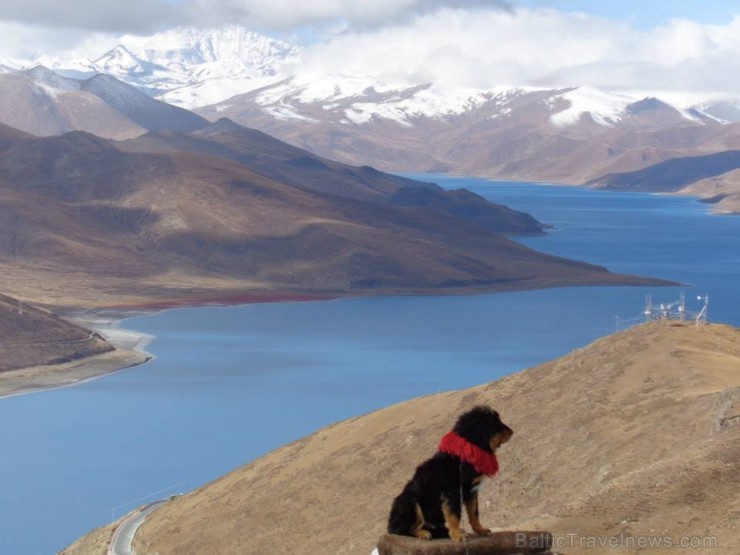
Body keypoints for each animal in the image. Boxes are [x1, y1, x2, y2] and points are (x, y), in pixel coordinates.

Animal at [388, 406, 516, 540]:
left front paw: (480, 530)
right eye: (495, 423)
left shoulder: (471, 491)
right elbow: (455, 515)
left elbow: (474, 513)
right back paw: (423, 533)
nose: (512, 431)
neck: (464, 454)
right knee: (404, 529)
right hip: (410, 502)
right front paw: (457, 535)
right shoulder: (452, 491)